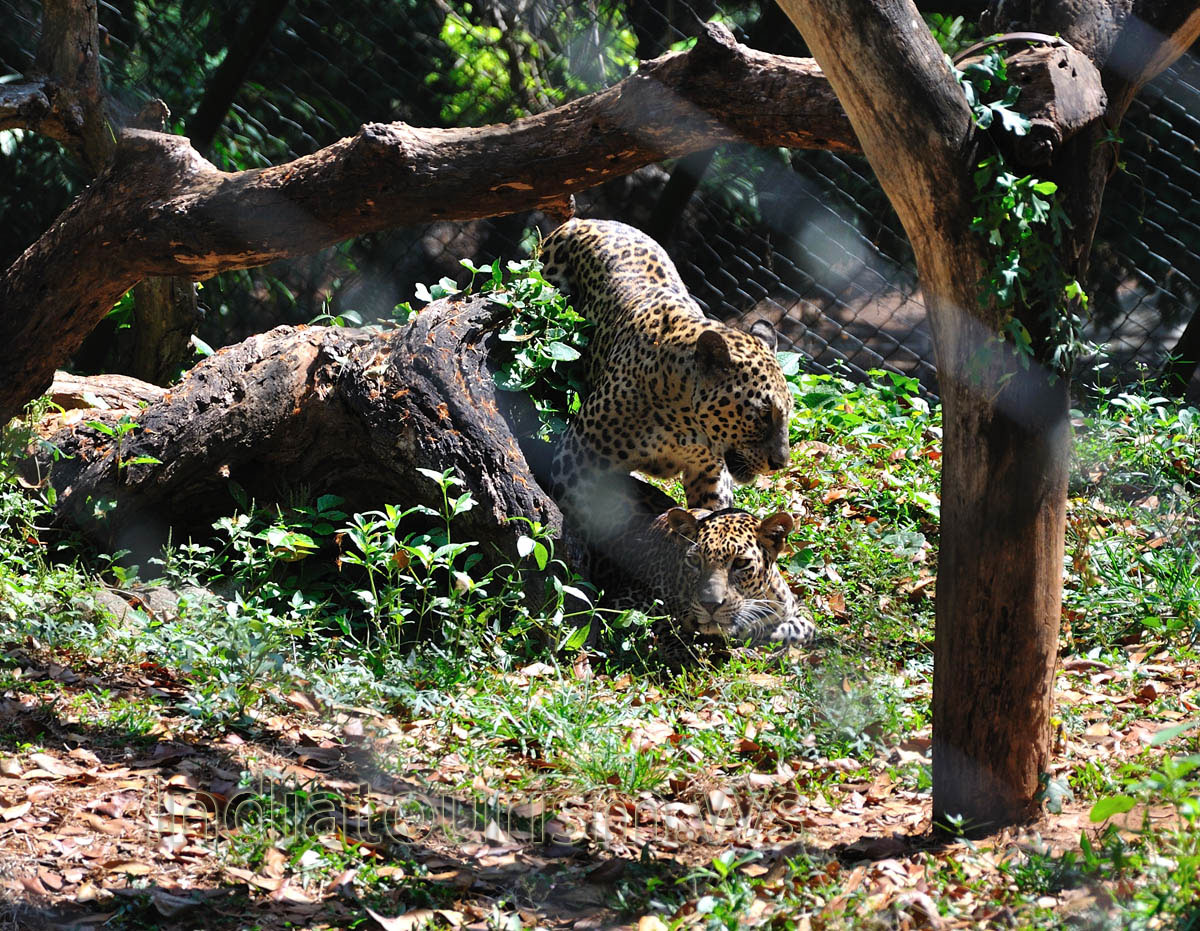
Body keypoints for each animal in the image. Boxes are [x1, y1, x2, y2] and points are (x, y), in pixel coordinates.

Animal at [538, 218, 793, 542]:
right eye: (762, 414)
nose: (780, 464)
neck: (684, 426)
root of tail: (583, 220)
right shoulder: (576, 457)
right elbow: (586, 514)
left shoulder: (710, 475)